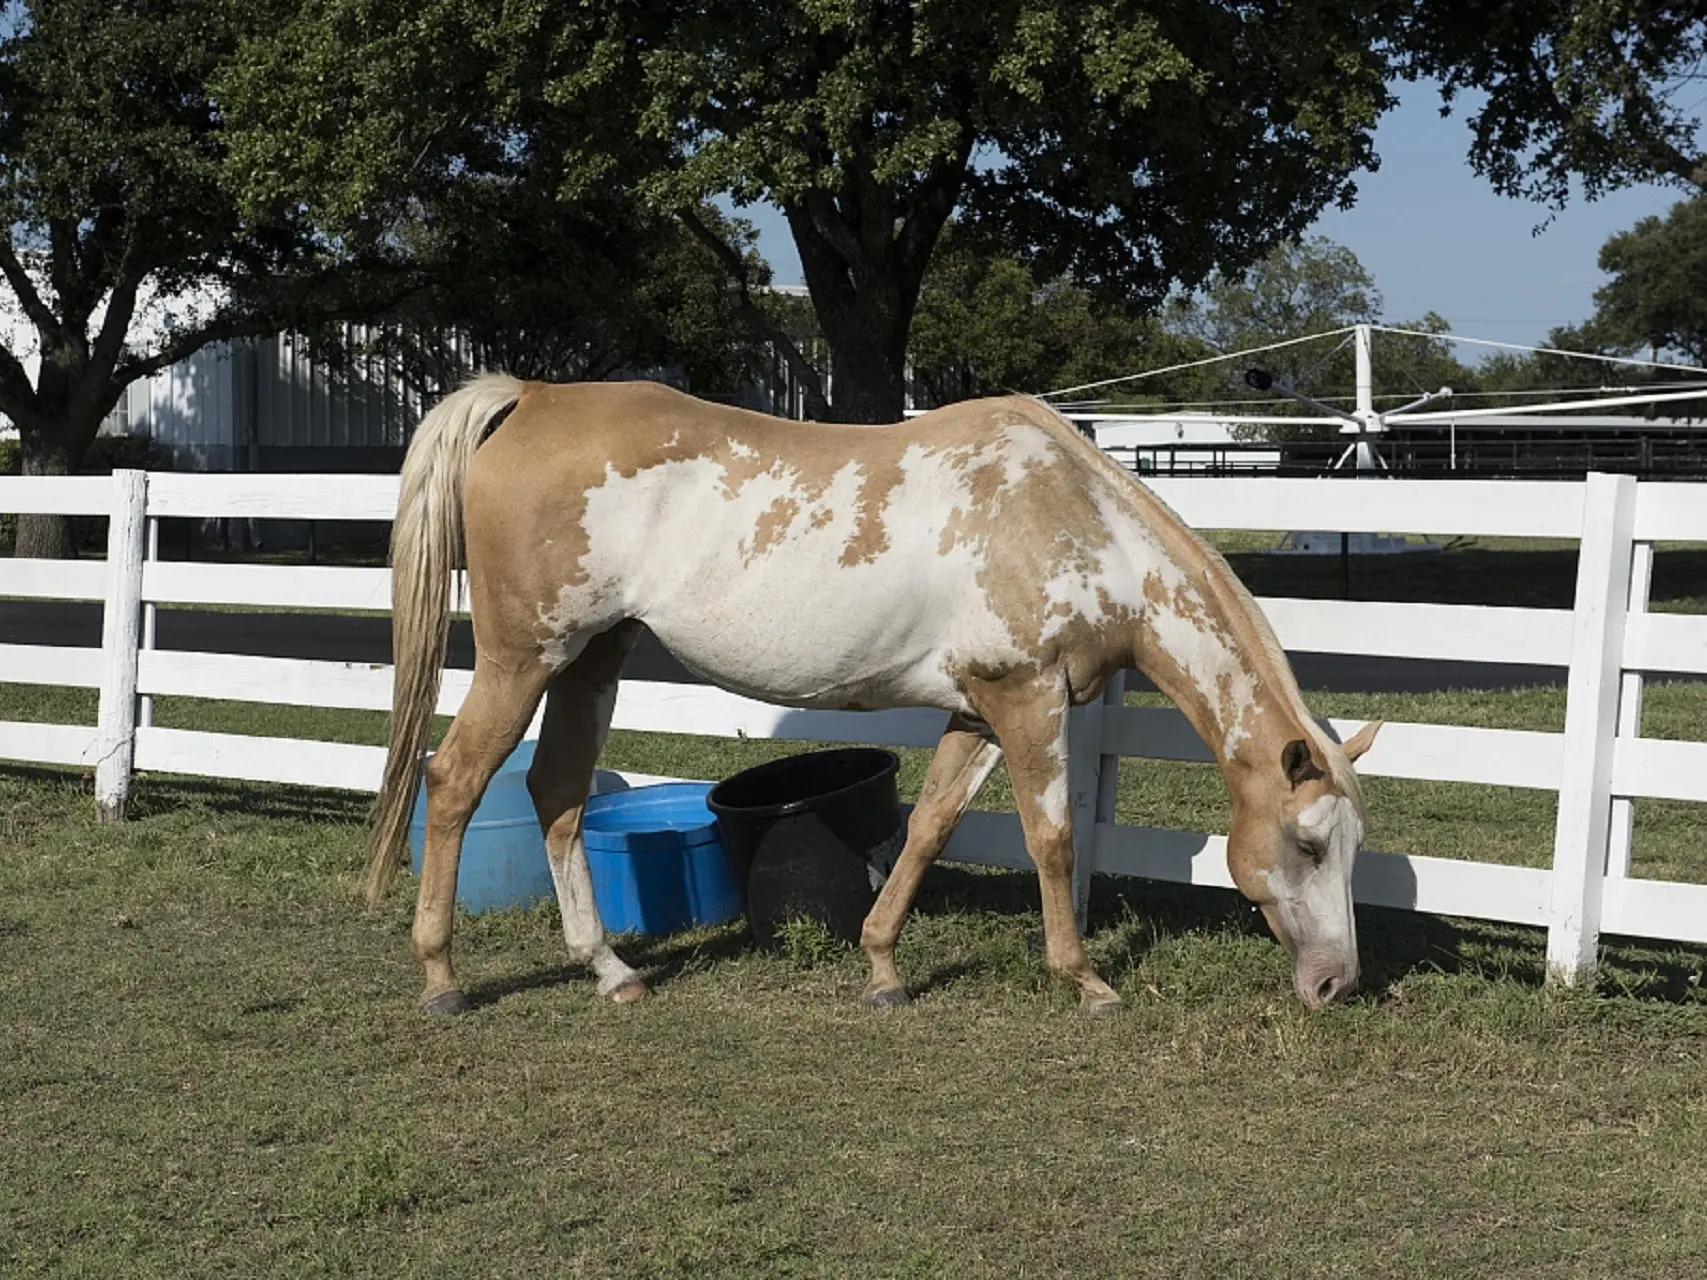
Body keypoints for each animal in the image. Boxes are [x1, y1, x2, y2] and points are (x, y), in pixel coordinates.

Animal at [367, 375, 1379, 1017]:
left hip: (591, 659)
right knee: (452, 782)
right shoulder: (1028, 700)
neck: (1076, 521)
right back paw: (440, 979)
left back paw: (610, 971)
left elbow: (927, 827)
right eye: (1306, 844)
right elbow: (1049, 841)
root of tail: (531, 396)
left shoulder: (978, 708)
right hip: (523, 658)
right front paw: (1084, 981)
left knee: (560, 794)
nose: (1337, 986)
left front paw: (883, 966)